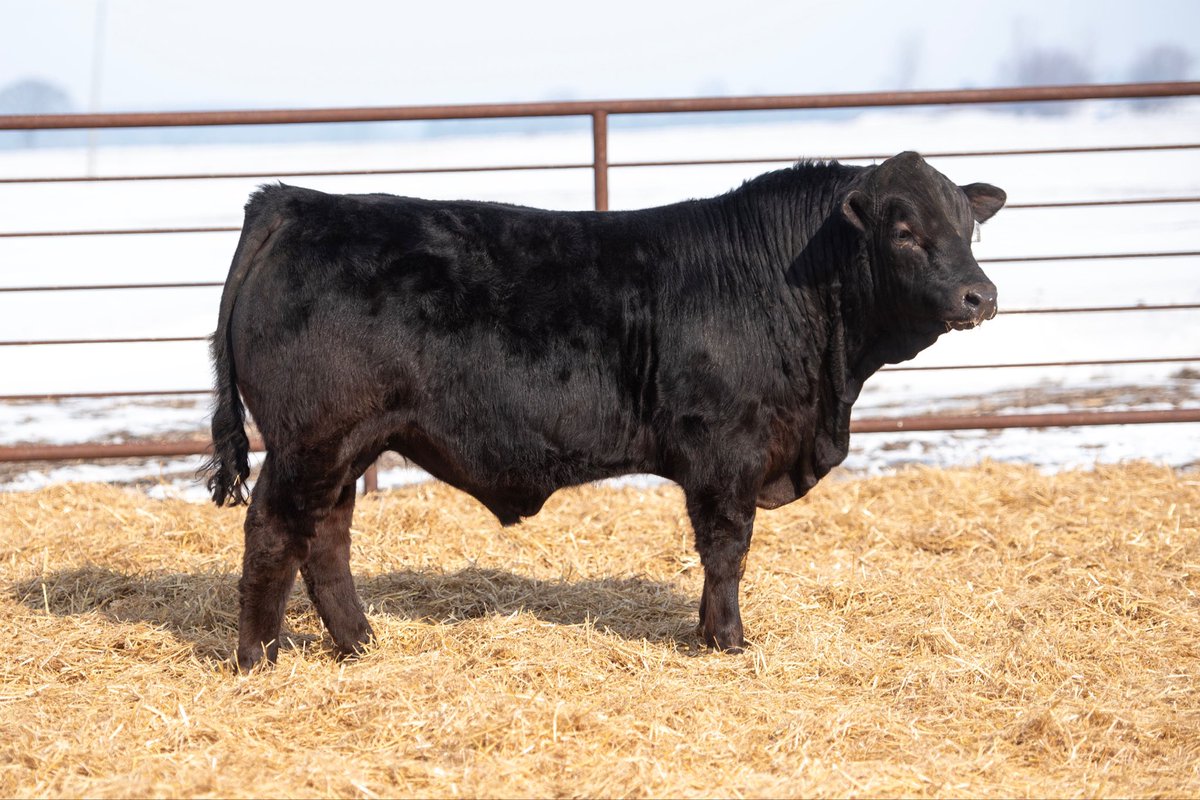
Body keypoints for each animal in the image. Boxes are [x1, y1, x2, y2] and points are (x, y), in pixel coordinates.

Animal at [202, 151, 1005, 671]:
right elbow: (727, 549)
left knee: (326, 538)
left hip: (349, 443)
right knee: (274, 530)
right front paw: (726, 639)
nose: (980, 295)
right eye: (904, 231)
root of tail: (297, 201)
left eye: (968, 227)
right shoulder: (727, 451)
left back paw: (360, 643)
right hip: (313, 438)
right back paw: (258, 656)